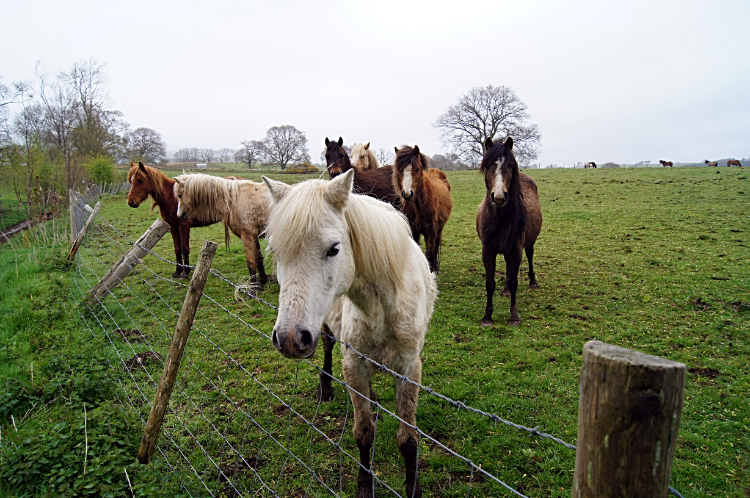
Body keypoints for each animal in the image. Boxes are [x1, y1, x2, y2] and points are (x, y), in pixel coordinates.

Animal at [264, 171, 438, 498]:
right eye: (276, 252)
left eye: (334, 248)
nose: (290, 339)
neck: (383, 308)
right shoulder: (353, 365)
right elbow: (364, 433)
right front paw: (364, 485)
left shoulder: (410, 369)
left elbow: (408, 438)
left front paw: (413, 487)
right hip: (325, 330)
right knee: (327, 347)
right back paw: (326, 388)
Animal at [394, 146, 452, 274]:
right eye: (399, 170)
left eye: (417, 168)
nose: (407, 193)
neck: (419, 206)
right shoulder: (414, 230)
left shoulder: (431, 231)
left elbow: (430, 252)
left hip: (439, 228)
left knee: (436, 245)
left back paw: (436, 267)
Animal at [478, 136, 544, 326]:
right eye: (487, 166)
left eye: (510, 166)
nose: (499, 197)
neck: (499, 219)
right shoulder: (488, 250)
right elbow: (490, 283)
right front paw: (487, 316)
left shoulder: (515, 250)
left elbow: (514, 281)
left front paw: (514, 316)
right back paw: (505, 291)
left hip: (528, 244)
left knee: (529, 256)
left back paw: (532, 282)